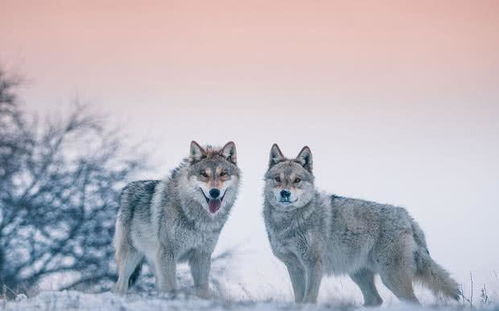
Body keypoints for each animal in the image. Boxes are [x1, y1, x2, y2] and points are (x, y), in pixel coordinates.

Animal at [113, 141, 240, 298]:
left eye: (223, 174)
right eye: (204, 174)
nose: (214, 192)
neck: (197, 218)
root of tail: (126, 188)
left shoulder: (202, 255)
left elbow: (202, 288)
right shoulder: (168, 253)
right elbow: (170, 287)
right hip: (131, 259)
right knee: (120, 285)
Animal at [264, 145, 462, 306]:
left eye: (297, 180)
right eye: (278, 178)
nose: (285, 193)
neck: (287, 223)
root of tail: (407, 216)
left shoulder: (313, 265)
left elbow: (309, 299)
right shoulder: (294, 267)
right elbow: (299, 299)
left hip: (391, 278)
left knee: (412, 302)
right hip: (360, 275)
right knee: (375, 300)